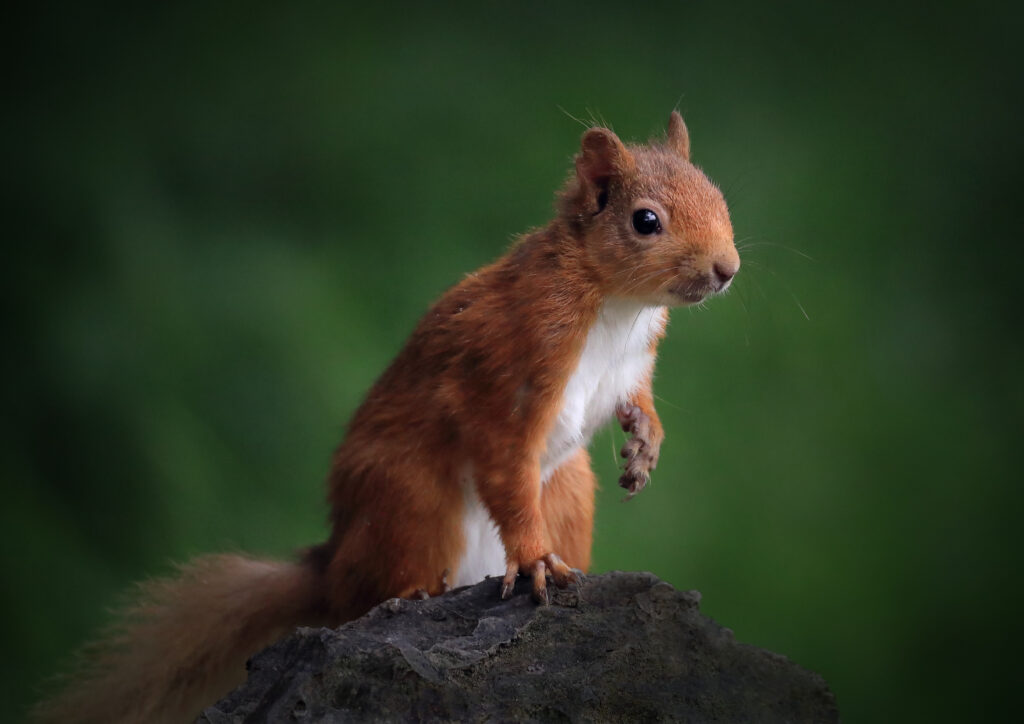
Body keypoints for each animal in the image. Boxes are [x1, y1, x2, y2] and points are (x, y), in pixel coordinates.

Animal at [36, 111, 740, 723]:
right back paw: (418, 596)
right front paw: (535, 559)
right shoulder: (510, 364)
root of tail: (331, 568)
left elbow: (638, 401)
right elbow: (503, 460)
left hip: (567, 496)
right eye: (645, 221)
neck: (617, 306)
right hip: (412, 501)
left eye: (719, 195)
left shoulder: (631, 366)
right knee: (377, 586)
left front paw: (645, 444)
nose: (727, 270)